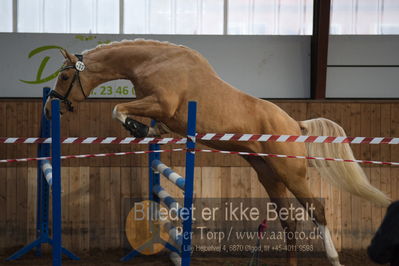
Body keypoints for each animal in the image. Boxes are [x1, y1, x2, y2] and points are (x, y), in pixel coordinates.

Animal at [44, 40, 390, 266]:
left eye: (64, 76)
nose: (51, 108)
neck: (153, 62)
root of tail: (294, 124)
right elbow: (126, 113)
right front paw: (149, 131)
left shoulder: (162, 104)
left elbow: (118, 109)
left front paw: (142, 130)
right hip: (268, 174)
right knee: (289, 221)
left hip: (290, 172)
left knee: (316, 211)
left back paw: (334, 259)